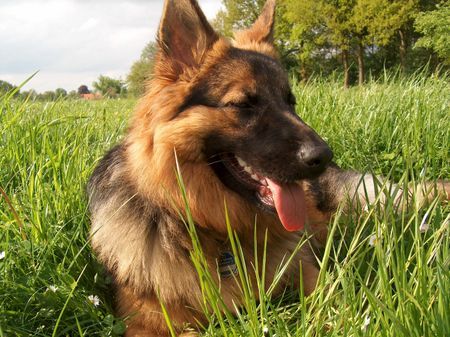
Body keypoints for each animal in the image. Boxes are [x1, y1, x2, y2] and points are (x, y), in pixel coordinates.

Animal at [89, 1, 450, 334]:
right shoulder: (146, 324)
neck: (216, 231)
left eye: (290, 102)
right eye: (243, 105)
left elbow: (333, 302)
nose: (323, 156)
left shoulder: (306, 270)